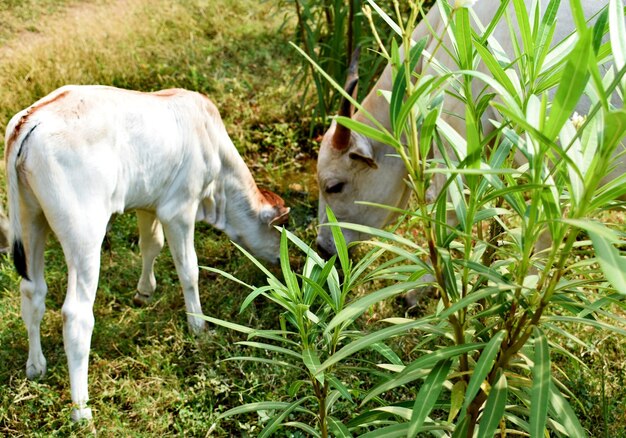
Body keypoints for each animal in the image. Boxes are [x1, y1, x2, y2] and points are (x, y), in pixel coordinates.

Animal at [4, 84, 288, 420]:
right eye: (283, 229)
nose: (283, 264)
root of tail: (31, 119)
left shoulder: (148, 202)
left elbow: (151, 244)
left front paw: (144, 292)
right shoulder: (178, 210)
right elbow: (189, 270)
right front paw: (199, 326)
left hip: (30, 219)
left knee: (33, 292)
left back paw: (36, 366)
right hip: (84, 235)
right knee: (76, 315)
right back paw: (82, 412)